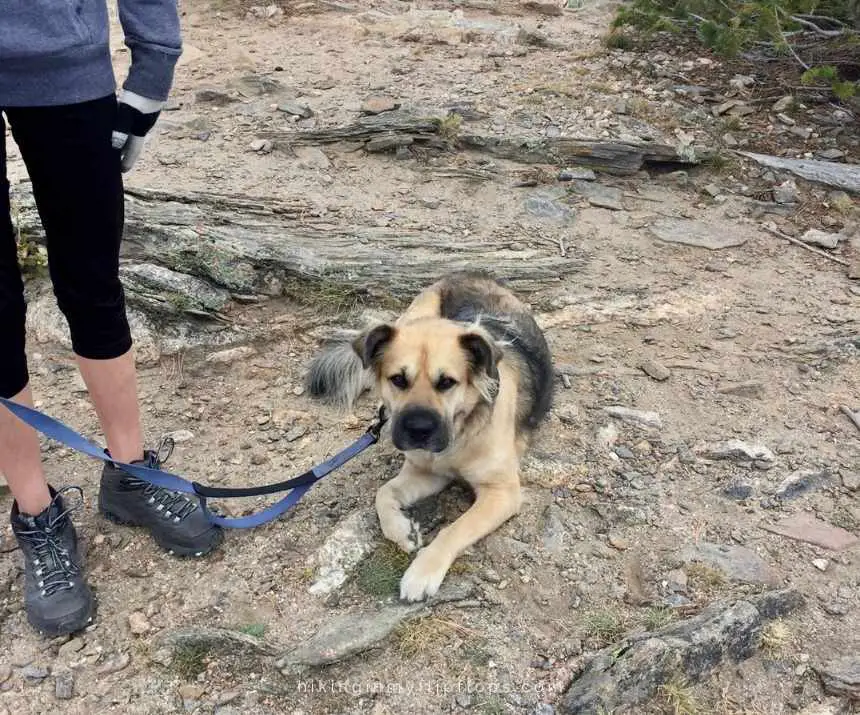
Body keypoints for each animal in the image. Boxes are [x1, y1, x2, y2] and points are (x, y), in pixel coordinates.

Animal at [306, 272, 556, 600]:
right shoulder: (428, 472)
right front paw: (401, 530)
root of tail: (467, 273)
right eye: (398, 379)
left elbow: (455, 528)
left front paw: (422, 572)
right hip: (415, 313)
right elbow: (383, 492)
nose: (418, 430)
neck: (458, 436)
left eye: (447, 382)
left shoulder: (502, 492)